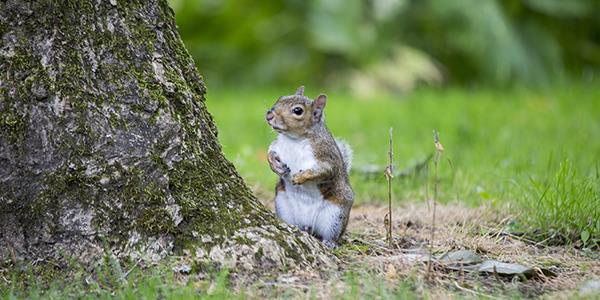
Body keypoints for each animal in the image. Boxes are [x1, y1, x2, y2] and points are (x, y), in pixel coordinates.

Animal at [264, 86, 354, 248]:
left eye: (298, 110)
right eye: (280, 98)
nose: (269, 115)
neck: (295, 139)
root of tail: (308, 224)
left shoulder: (327, 155)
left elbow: (325, 170)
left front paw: (301, 177)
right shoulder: (278, 146)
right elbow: (270, 152)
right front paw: (275, 166)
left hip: (335, 214)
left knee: (332, 234)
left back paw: (329, 242)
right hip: (283, 205)